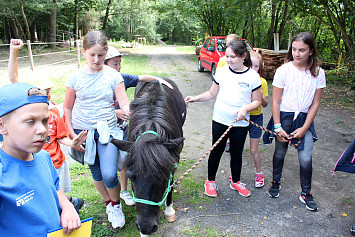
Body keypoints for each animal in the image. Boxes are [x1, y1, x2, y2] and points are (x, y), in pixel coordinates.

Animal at [112, 78, 186, 235]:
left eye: (164, 177)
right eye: (131, 176)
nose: (146, 226)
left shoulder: (173, 160)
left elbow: (170, 186)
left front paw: (169, 210)